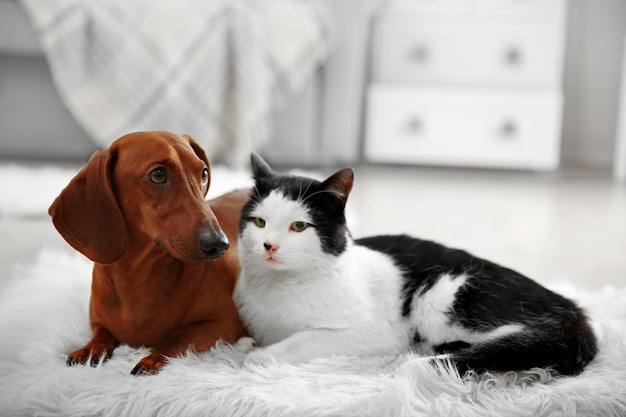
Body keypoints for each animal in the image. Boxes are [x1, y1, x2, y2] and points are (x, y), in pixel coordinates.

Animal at [234, 153, 596, 374]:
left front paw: (263, 355)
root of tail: (572, 307)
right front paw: (246, 343)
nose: (268, 245)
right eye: (260, 222)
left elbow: (304, 340)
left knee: (521, 343)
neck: (279, 285)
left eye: (299, 226)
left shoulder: (374, 333)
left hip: (443, 295)